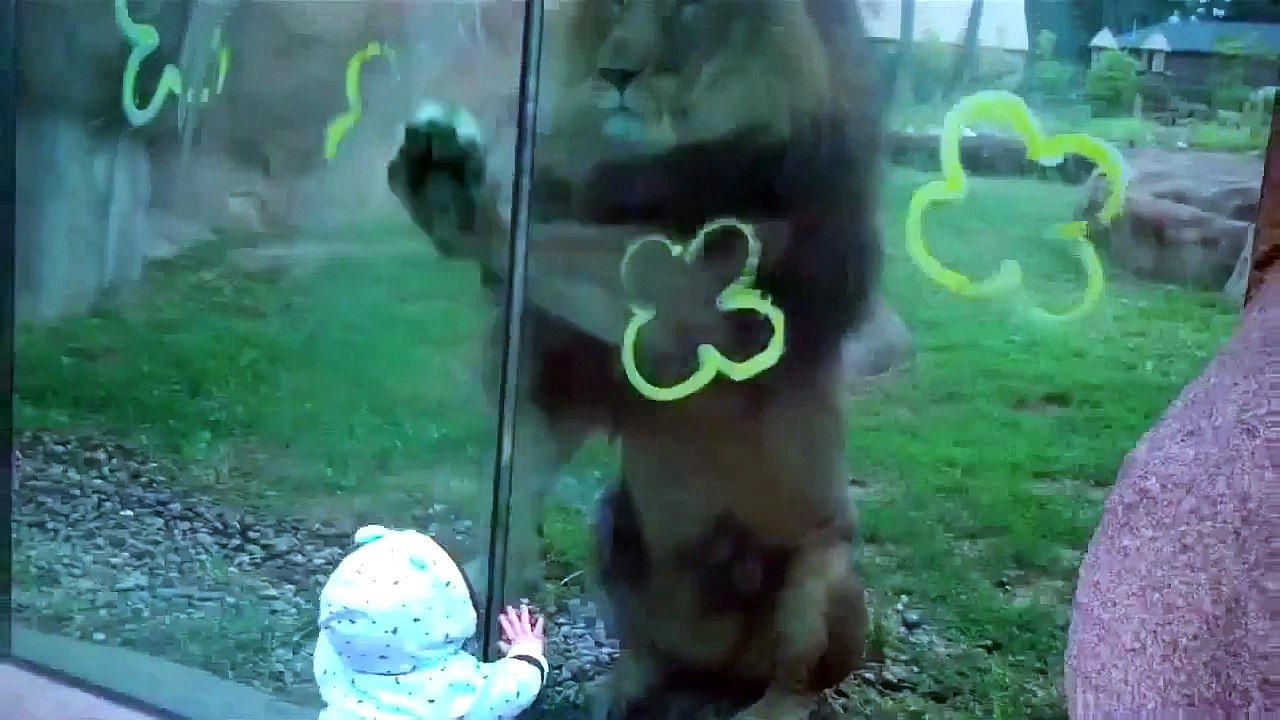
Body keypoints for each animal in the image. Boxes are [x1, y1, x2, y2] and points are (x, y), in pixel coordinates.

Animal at [386, 0, 885, 718]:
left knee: (799, 678)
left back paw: (765, 709)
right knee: (653, 646)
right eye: (614, 8)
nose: (615, 73)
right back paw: (616, 688)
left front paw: (472, 206)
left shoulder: (718, 318)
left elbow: (585, 255)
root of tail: (727, 663)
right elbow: (531, 440)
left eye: (690, 10)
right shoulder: (565, 368)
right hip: (614, 525)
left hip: (827, 575)